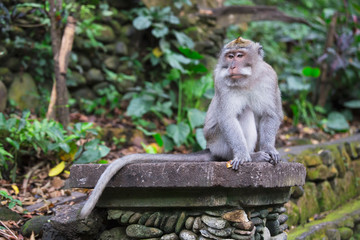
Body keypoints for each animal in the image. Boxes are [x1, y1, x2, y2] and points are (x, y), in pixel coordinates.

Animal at [78, 36, 282, 218]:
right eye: (230, 56)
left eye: (240, 55)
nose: (231, 66)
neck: (247, 79)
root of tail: (210, 148)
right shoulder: (220, 80)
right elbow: (229, 118)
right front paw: (242, 155)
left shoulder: (270, 76)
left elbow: (271, 114)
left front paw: (270, 149)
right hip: (220, 142)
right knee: (245, 111)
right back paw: (252, 156)